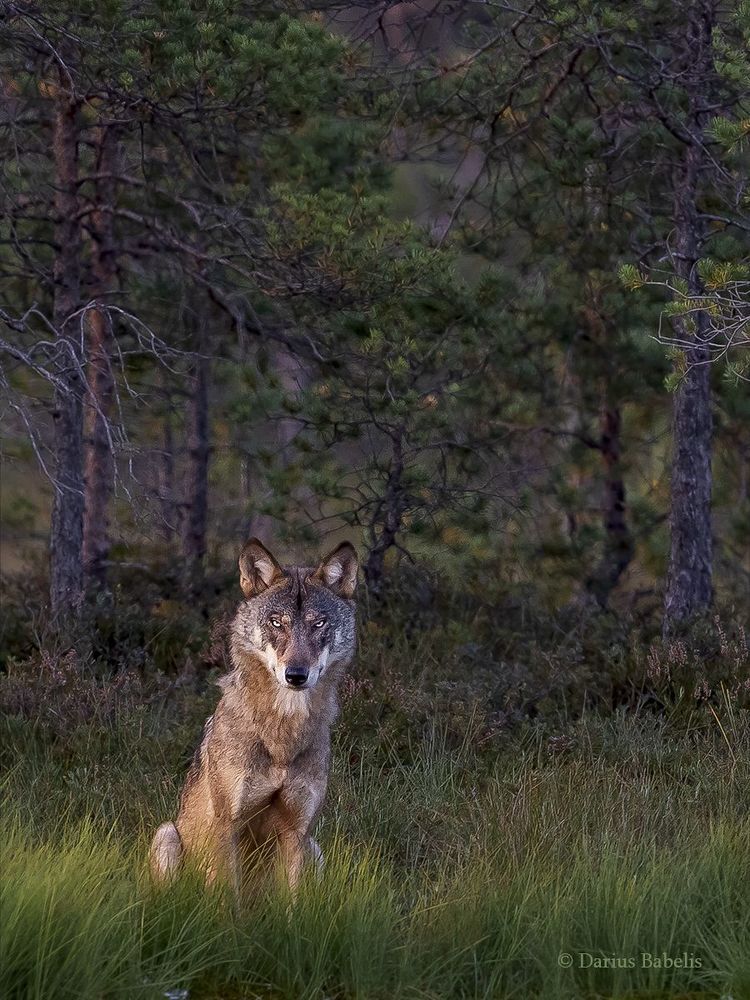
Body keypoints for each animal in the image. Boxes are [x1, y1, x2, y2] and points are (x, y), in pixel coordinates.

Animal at [149, 537, 358, 898]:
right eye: (276, 622)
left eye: (319, 623)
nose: (296, 675)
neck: (282, 736)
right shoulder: (227, 824)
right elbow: (226, 897)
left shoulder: (298, 831)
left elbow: (293, 901)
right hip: (167, 834)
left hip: (315, 849)